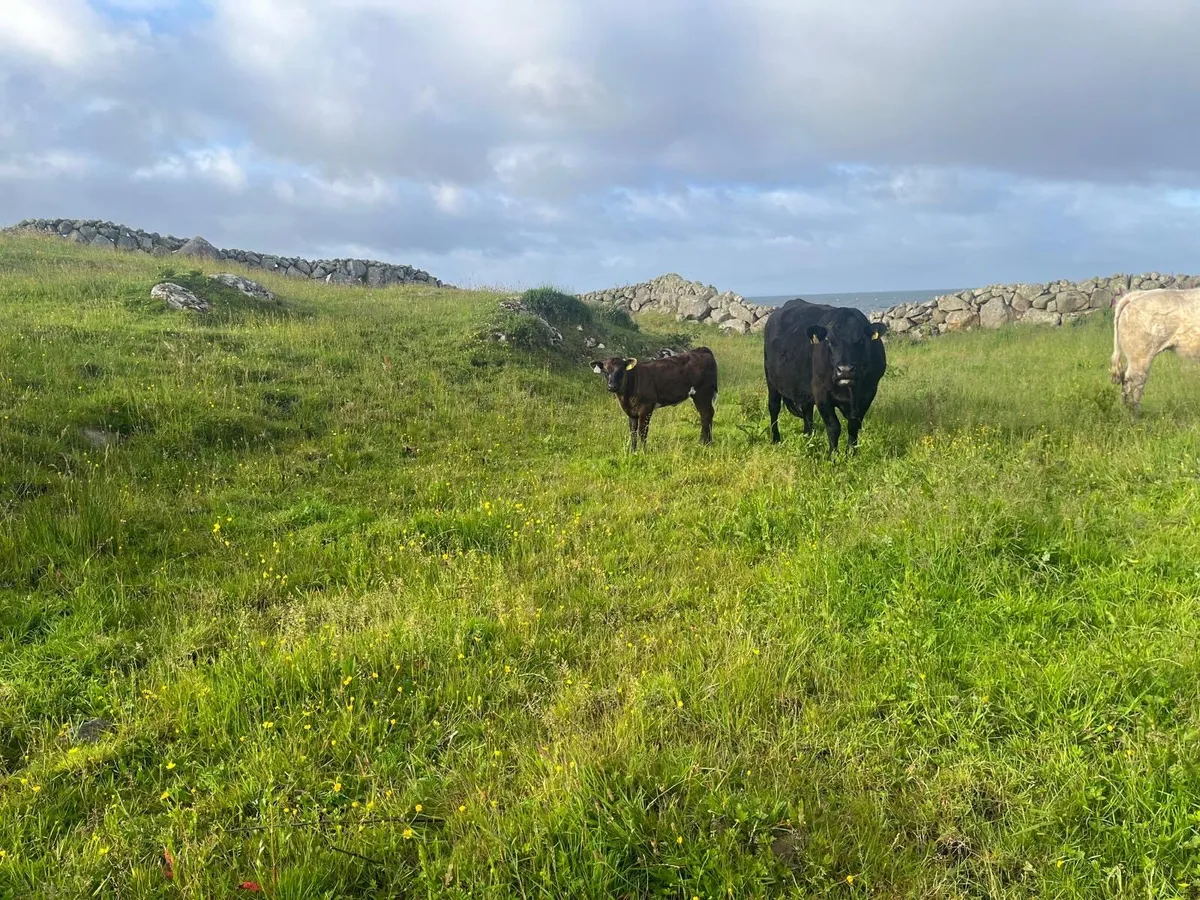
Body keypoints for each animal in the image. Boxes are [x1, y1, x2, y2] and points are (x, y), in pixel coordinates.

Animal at [764, 298, 888, 457]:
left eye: (861, 340)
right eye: (829, 340)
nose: (845, 370)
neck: (850, 392)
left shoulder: (868, 393)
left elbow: (854, 425)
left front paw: (852, 454)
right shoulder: (821, 393)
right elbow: (833, 427)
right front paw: (832, 456)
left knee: (807, 413)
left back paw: (808, 438)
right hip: (771, 379)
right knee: (774, 407)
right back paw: (776, 439)